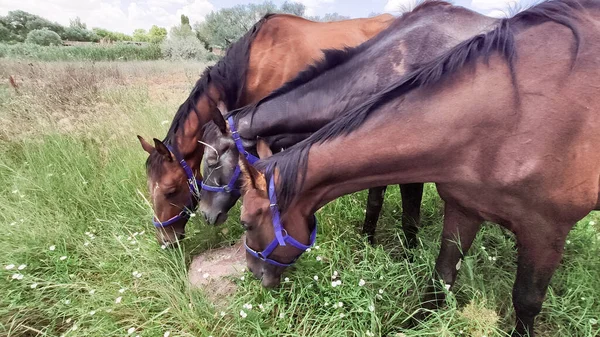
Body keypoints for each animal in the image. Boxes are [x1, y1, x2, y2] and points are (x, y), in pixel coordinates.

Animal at [204, 0, 500, 247]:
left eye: (211, 160)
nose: (207, 215)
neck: (391, 69)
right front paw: (368, 242)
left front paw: (410, 255)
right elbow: (374, 201)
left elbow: (409, 216)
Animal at [237, 1, 600, 334]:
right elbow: (439, 274)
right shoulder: (461, 206)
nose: (255, 272)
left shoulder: (545, 232)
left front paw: (404, 252)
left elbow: (525, 300)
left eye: (246, 223)